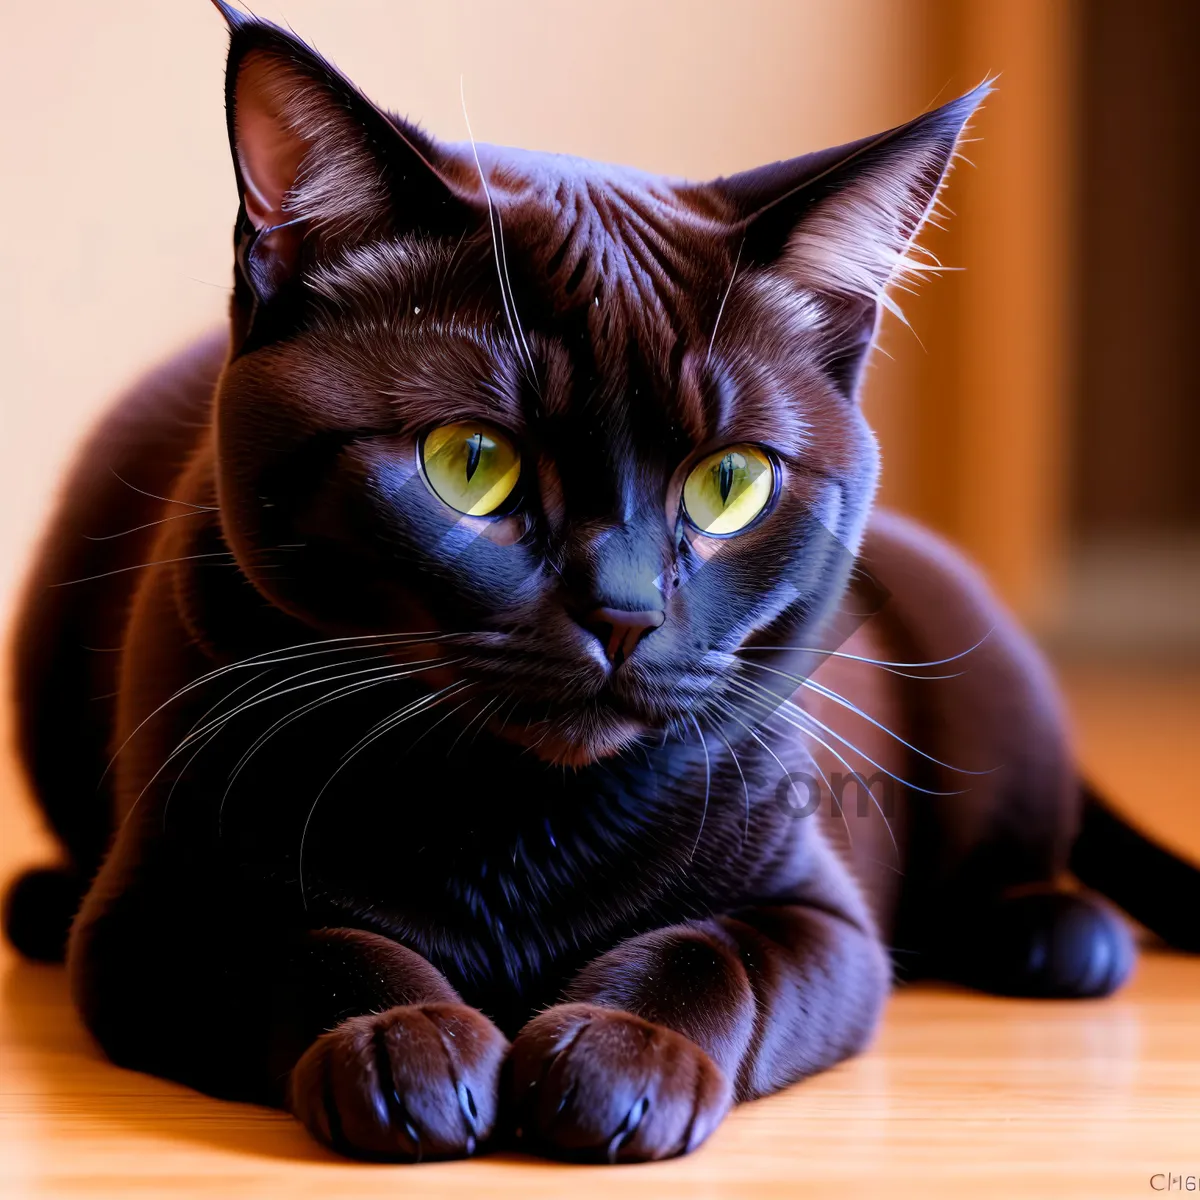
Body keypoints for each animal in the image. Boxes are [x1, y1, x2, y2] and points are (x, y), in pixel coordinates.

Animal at [4, 0, 1195, 1161]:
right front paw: (408, 1044)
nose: (623, 615)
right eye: (468, 464)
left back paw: (1056, 933)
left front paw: (618, 1062)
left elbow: (708, 955)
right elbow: (308, 945)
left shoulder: (821, 923)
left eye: (730, 483)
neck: (513, 819)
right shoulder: (153, 918)